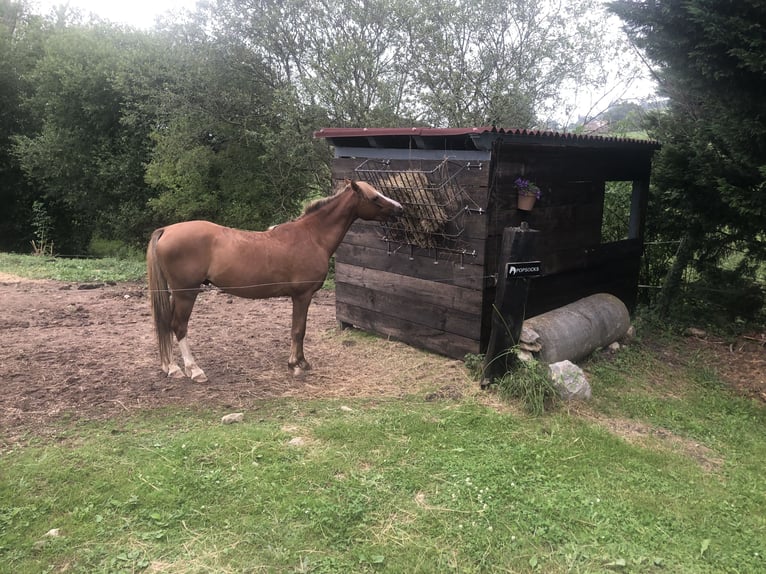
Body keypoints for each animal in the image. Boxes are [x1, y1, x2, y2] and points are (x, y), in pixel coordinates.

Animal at [146, 179, 403, 382]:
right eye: (374, 197)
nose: (399, 208)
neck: (312, 236)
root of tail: (167, 230)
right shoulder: (302, 296)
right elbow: (298, 330)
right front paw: (296, 365)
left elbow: (298, 329)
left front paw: (301, 362)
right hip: (186, 293)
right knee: (179, 326)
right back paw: (194, 370)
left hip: (177, 294)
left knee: (166, 324)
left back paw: (171, 367)